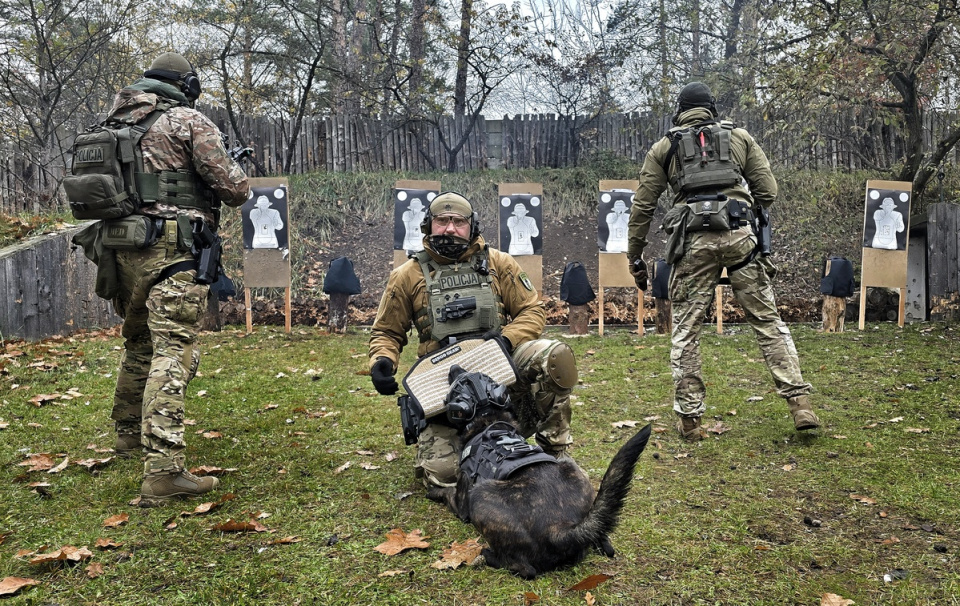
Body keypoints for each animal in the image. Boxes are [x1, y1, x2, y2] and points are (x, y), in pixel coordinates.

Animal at [428, 366, 652, 580]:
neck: (487, 418)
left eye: (456, 385)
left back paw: (487, 555)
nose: (454, 366)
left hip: (480, 496)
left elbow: (447, 492)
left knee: (525, 569)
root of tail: (561, 528)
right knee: (604, 539)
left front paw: (434, 491)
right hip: (571, 467)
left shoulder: (462, 503)